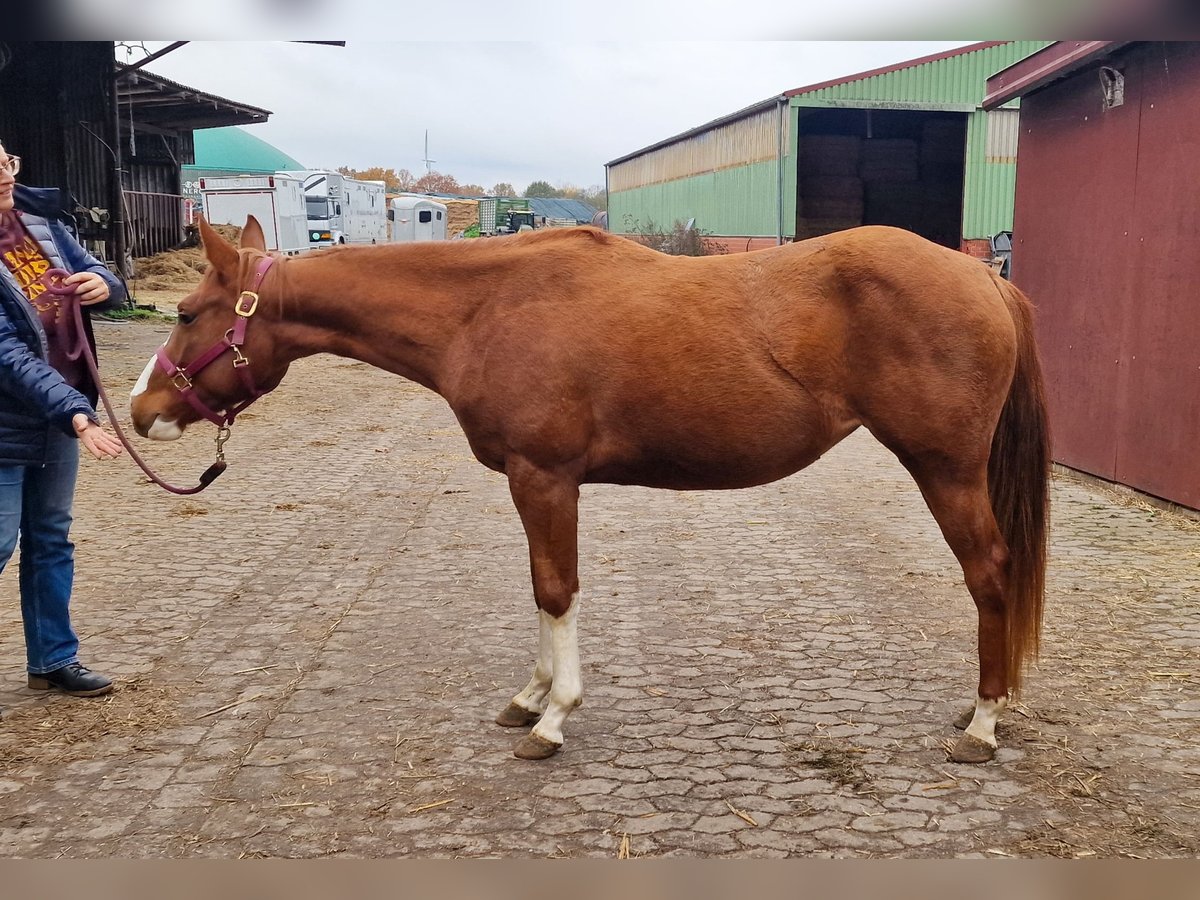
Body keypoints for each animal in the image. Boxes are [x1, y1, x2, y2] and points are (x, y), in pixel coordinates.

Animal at [130, 216, 1050, 765]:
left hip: (944, 470)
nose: (141, 413)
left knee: (990, 573)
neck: (485, 308)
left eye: (185, 312)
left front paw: (553, 717)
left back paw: (982, 722)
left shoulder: (546, 477)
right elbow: (540, 591)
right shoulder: (535, 483)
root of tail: (986, 278)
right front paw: (528, 695)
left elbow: (555, 589)